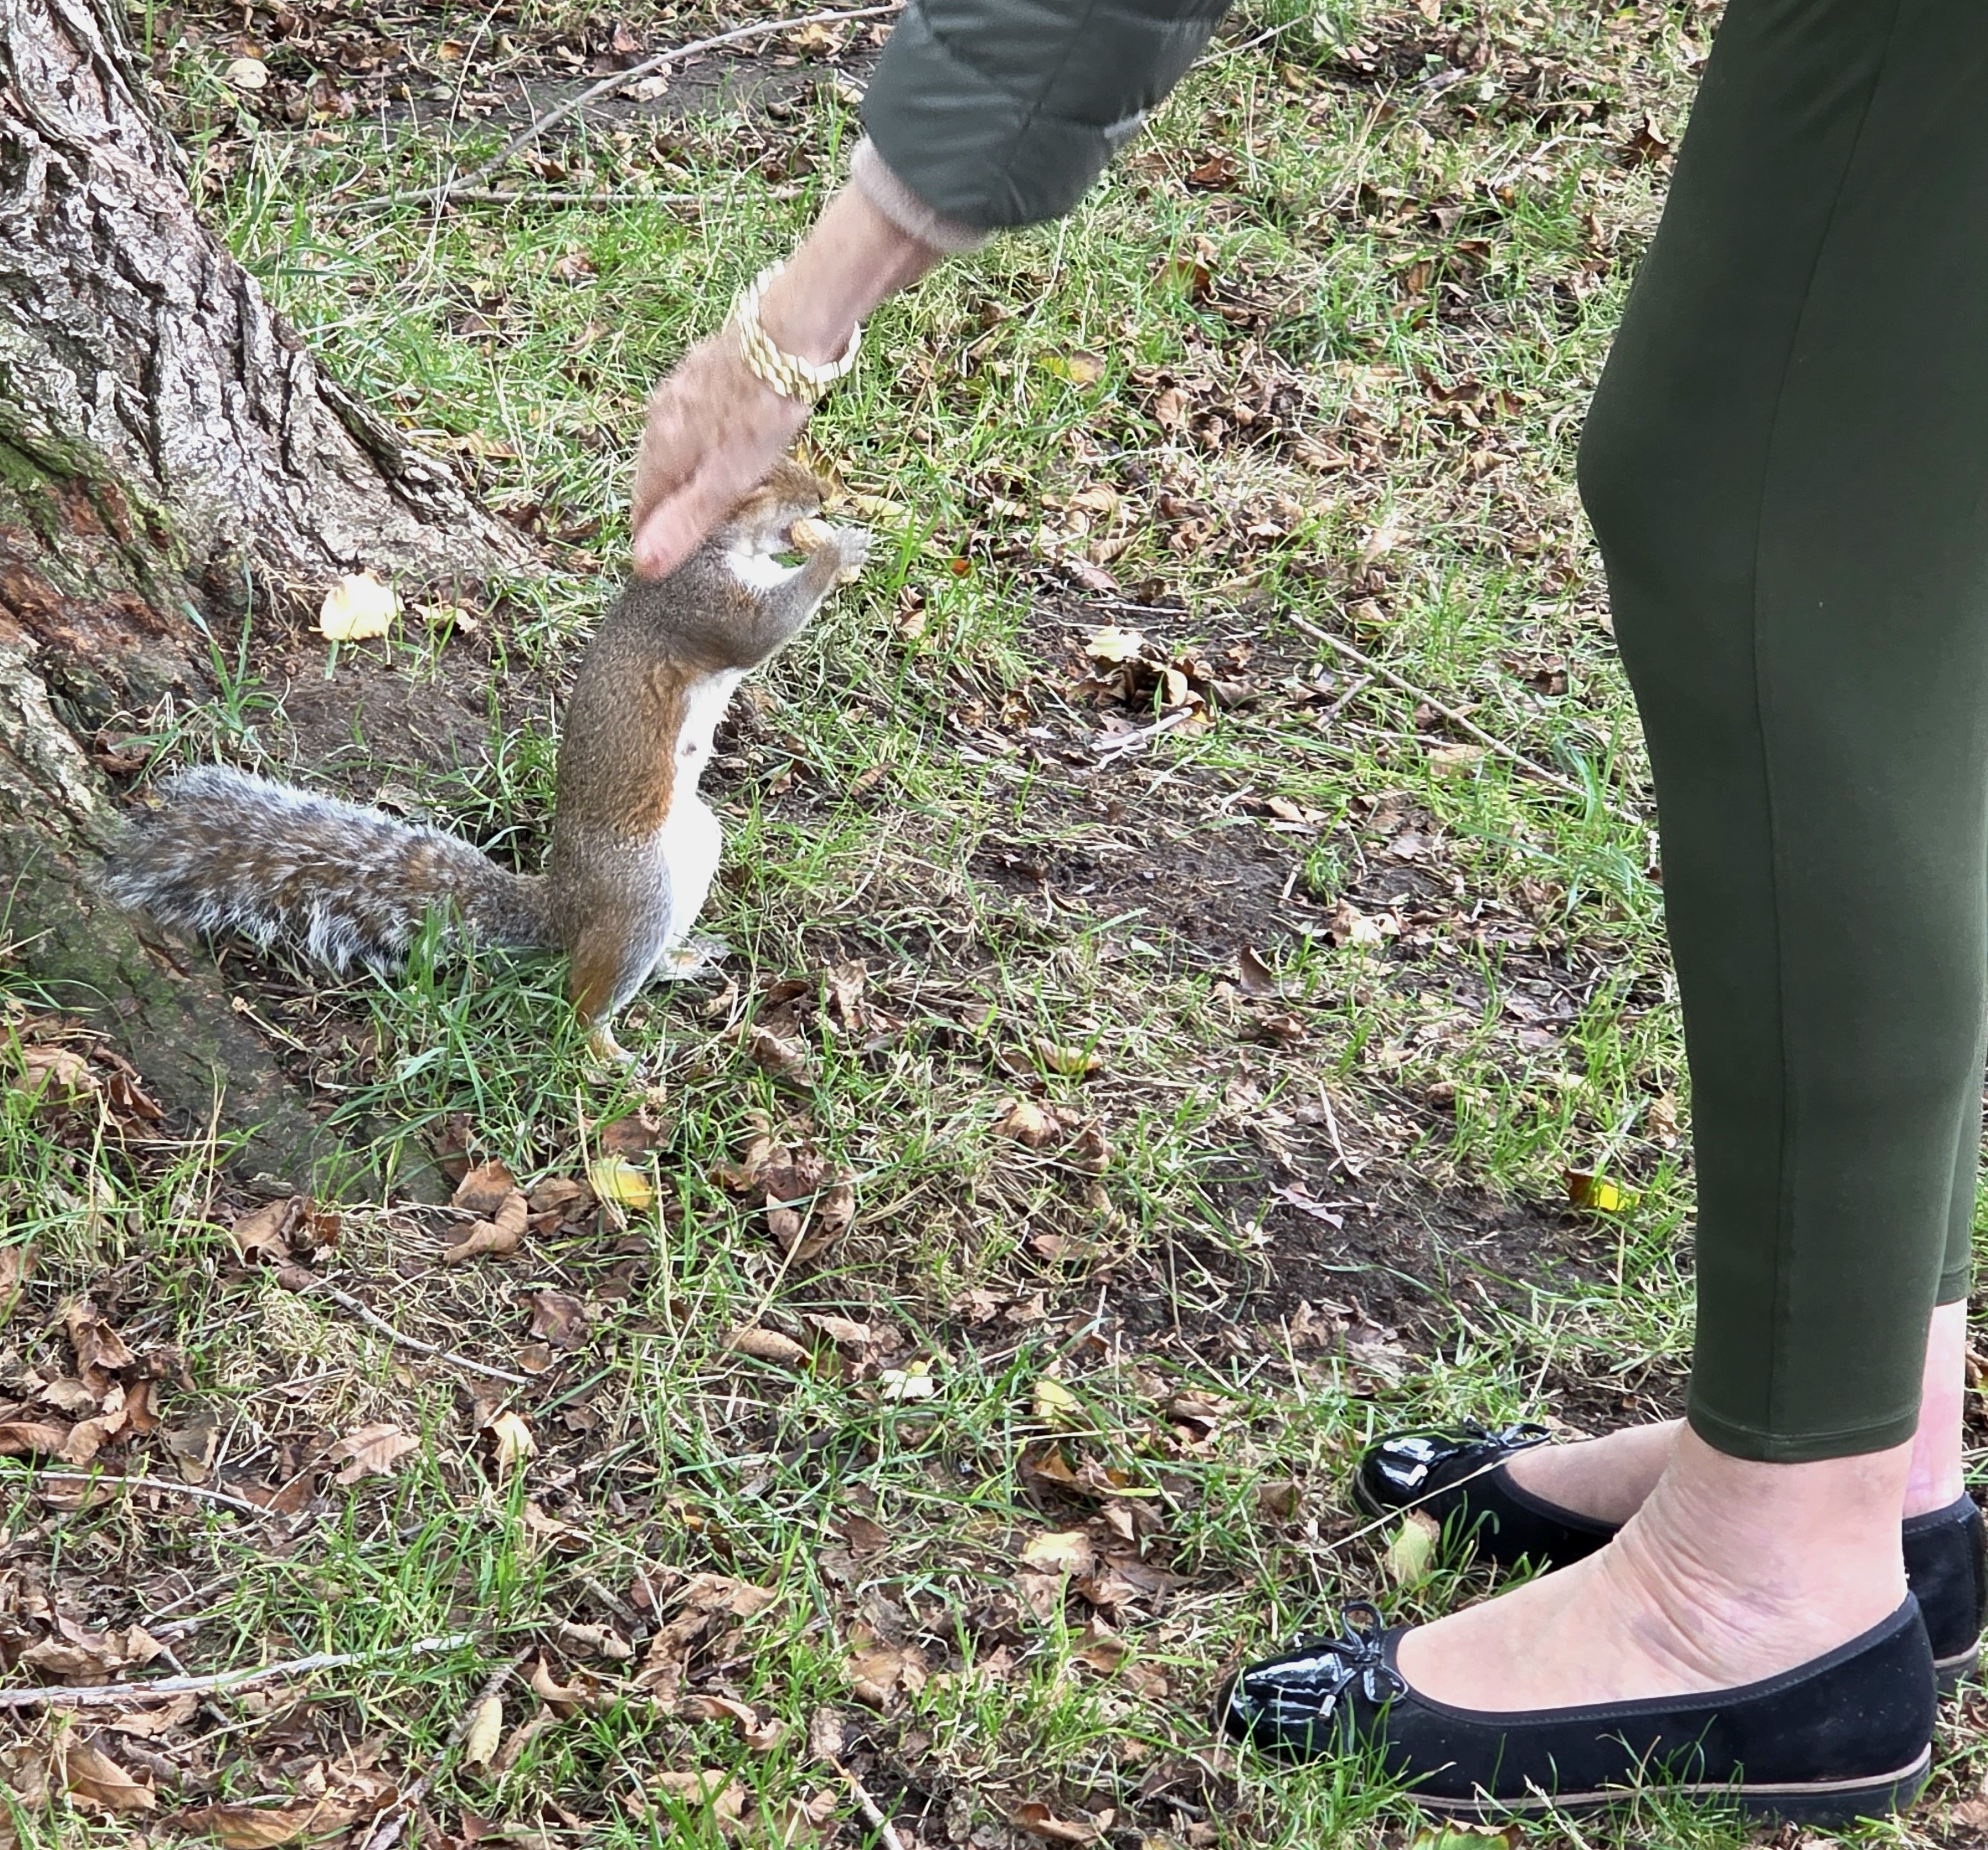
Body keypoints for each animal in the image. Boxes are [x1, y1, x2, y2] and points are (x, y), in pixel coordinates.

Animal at [104, 459, 867, 1062]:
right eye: (756, 482)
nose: (823, 491)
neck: (724, 547)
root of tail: (562, 907)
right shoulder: (700, 601)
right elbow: (756, 632)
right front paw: (837, 552)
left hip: (695, 849)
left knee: (644, 958)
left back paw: (682, 958)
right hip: (637, 889)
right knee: (584, 995)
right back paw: (602, 1048)